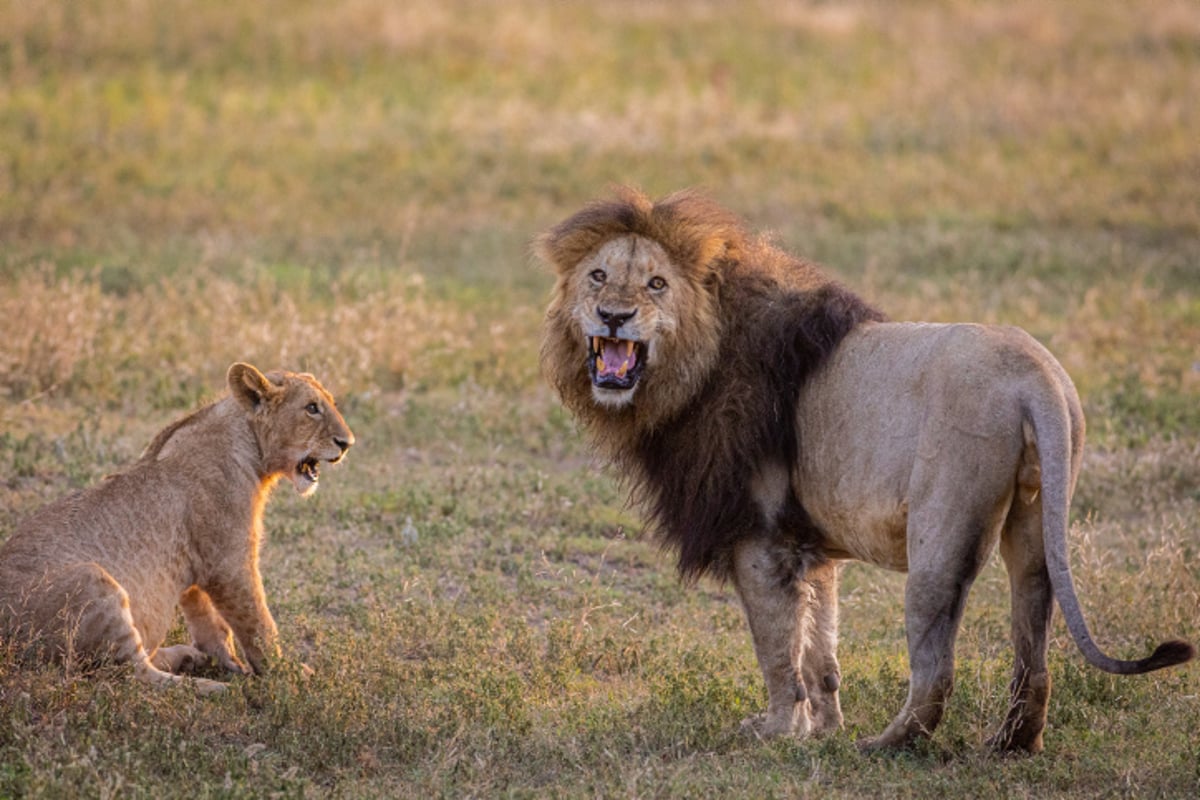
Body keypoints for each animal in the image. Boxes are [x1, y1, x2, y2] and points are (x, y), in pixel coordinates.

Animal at [0, 364, 352, 695]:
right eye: (311, 408)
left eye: (331, 404)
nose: (347, 443)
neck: (250, 445)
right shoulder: (230, 563)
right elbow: (258, 624)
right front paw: (285, 674)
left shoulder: (197, 566)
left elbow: (210, 623)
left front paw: (227, 661)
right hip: (92, 581)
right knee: (135, 674)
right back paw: (213, 688)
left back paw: (189, 657)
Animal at [540, 190, 1195, 753]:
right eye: (598, 276)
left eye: (657, 284)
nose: (614, 316)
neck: (693, 368)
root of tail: (1036, 377)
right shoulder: (807, 542)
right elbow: (819, 647)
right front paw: (822, 729)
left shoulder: (759, 535)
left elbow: (776, 648)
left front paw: (777, 731)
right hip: (1037, 524)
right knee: (1032, 642)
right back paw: (1011, 744)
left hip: (940, 532)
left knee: (936, 666)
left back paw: (887, 745)